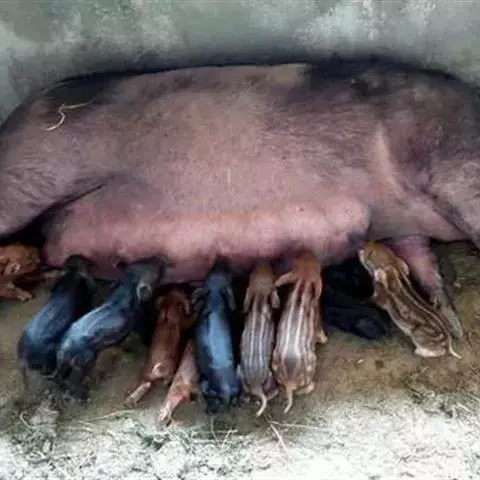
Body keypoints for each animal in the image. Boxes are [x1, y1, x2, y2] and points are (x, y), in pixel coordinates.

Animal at [55, 257, 166, 395]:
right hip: (86, 361)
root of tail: (64, 350)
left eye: (145, 260)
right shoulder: (134, 324)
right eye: (156, 274)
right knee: (74, 380)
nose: (161, 260)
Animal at [238, 261, 280, 417]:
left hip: (239, 371)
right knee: (272, 392)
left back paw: (245, 398)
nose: (263, 261)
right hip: (270, 376)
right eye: (274, 274)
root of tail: (256, 385)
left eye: (251, 274)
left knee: (246, 394)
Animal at [271, 251, 327, 414]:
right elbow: (321, 335)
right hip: (312, 362)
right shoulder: (318, 322)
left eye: (297, 259)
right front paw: (325, 338)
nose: (308, 252)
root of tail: (290, 380)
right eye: (318, 268)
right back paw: (312, 385)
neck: (303, 281)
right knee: (304, 389)